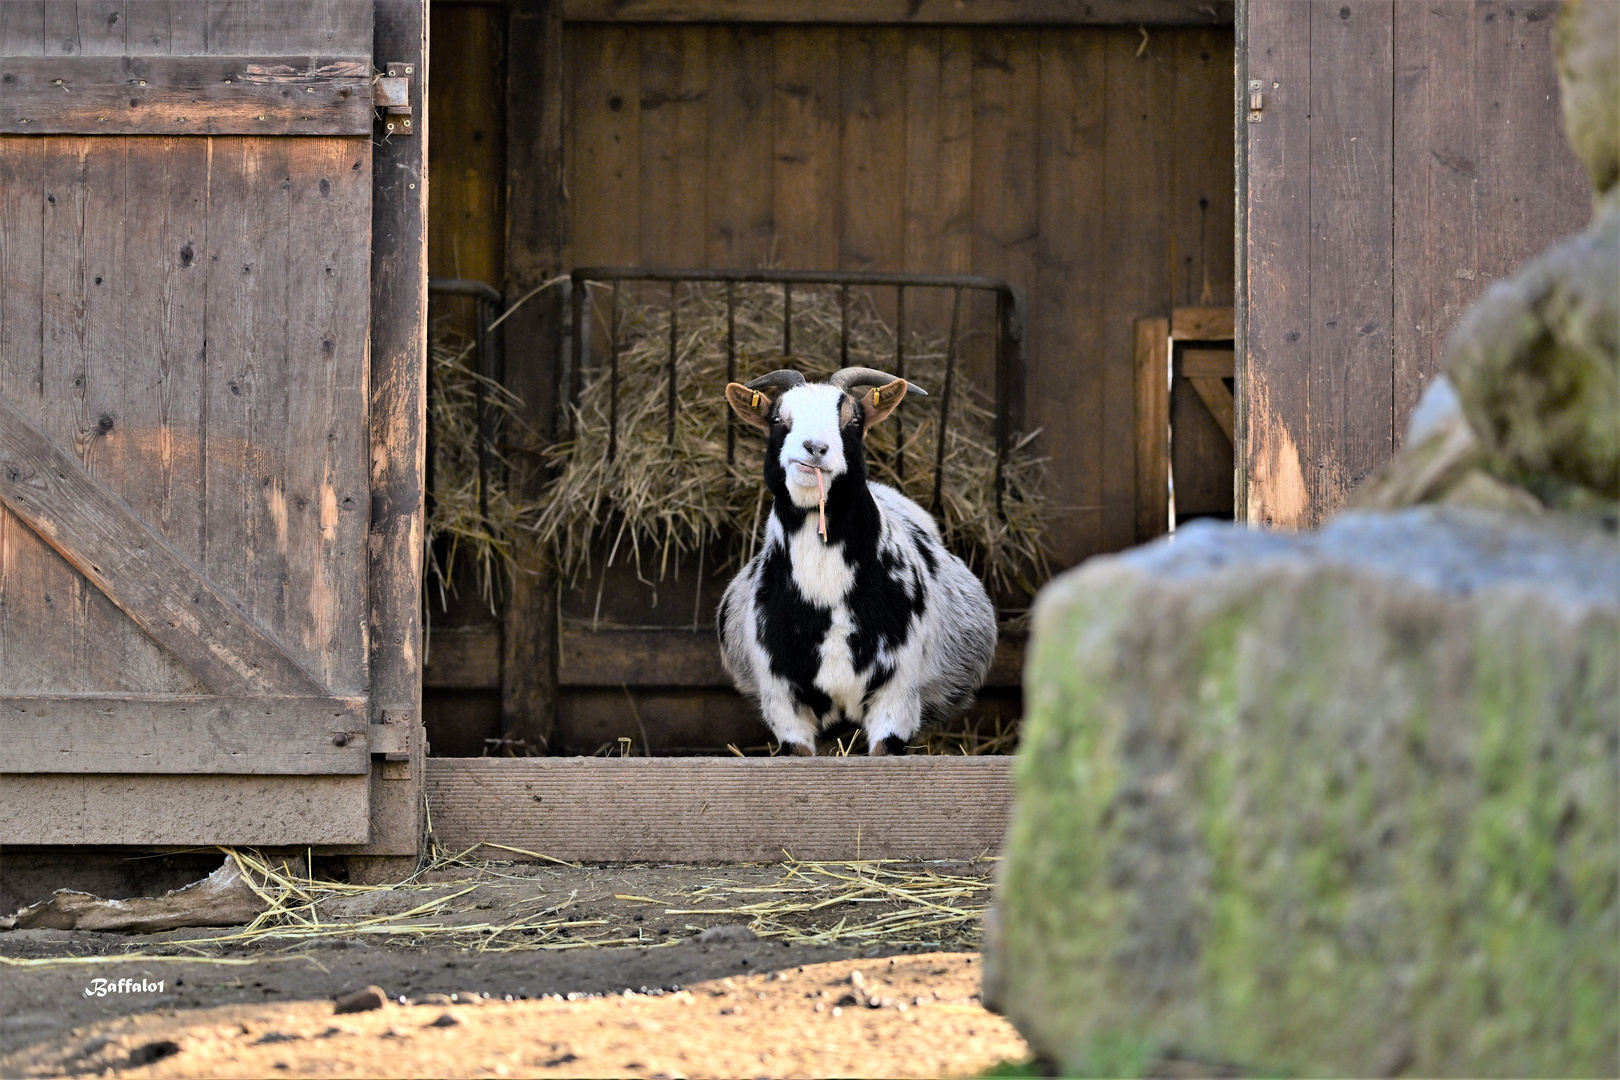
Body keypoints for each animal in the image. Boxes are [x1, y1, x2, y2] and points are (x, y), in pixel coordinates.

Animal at [716, 367, 991, 757]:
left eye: (855, 420)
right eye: (776, 420)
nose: (815, 448)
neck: (826, 595)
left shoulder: (896, 698)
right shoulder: (784, 703)